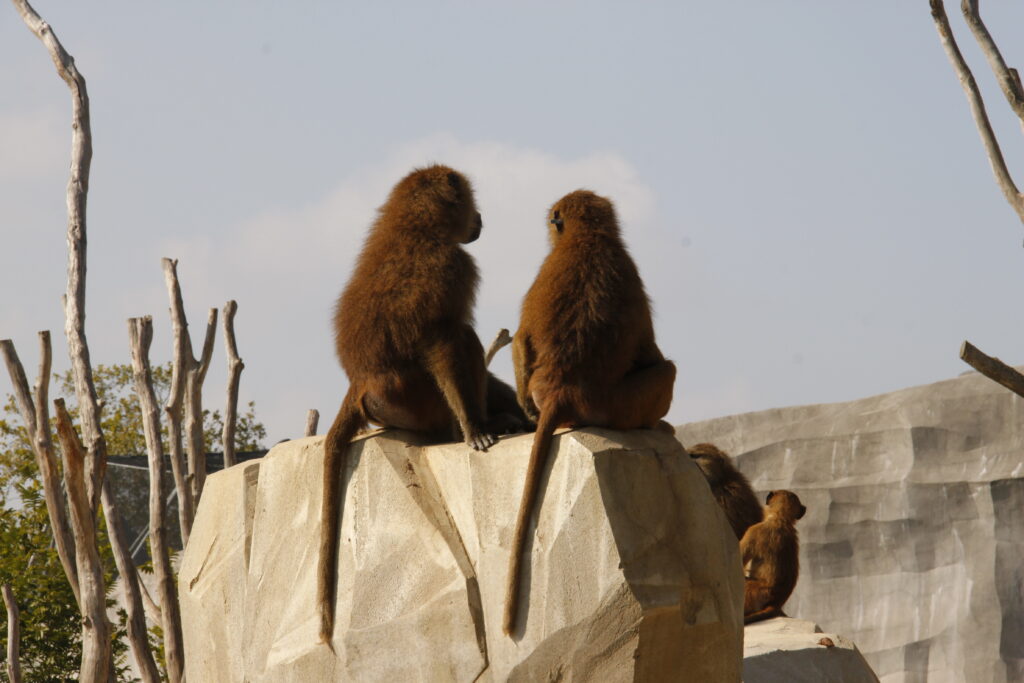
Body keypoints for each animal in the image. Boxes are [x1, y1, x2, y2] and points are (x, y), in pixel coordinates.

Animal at [317, 162, 528, 643]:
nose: (481, 219)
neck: (414, 228)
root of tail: (359, 384)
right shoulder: (453, 266)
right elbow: (441, 343)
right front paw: (474, 430)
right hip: (412, 401)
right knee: (462, 337)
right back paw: (483, 424)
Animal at [505, 188, 679, 634]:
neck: (586, 239)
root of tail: (562, 392)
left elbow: (522, 339)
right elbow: (649, 353)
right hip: (618, 407)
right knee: (666, 368)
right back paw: (658, 424)